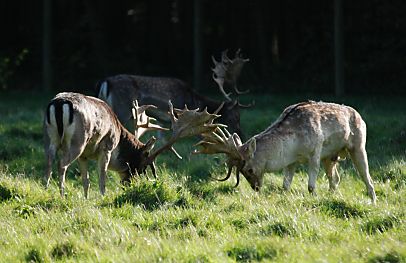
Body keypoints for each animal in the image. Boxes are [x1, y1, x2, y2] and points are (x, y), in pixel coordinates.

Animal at [43, 93, 222, 198]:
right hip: (78, 140)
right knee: (62, 164)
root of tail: (59, 103)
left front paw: (86, 199)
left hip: (51, 136)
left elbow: (86, 180)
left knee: (50, 159)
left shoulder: (85, 155)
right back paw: (62, 194)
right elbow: (102, 175)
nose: (128, 184)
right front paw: (102, 196)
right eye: (143, 166)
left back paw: (45, 189)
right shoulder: (107, 146)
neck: (118, 135)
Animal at [96, 49, 252, 140]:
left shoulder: (161, 119)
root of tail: (105, 82)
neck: (195, 102)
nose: (242, 135)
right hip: (122, 109)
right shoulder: (181, 115)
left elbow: (161, 140)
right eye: (235, 116)